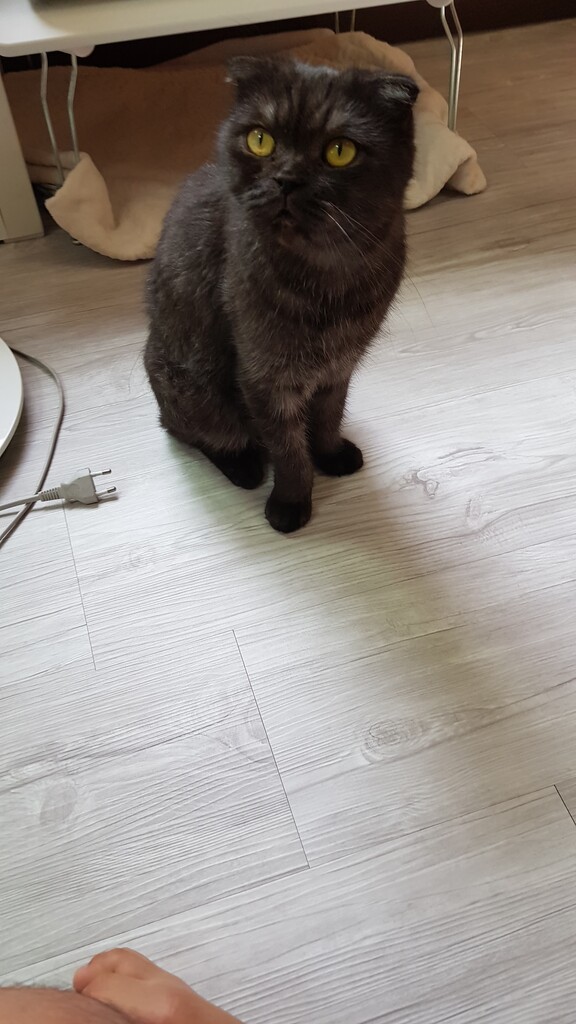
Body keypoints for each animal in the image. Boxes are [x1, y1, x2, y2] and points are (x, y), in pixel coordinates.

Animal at [144, 56, 417, 533]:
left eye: (340, 150)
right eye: (260, 140)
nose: (286, 179)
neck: (331, 276)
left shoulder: (340, 365)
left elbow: (328, 417)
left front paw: (329, 455)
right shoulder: (264, 376)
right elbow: (288, 449)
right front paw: (290, 503)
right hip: (195, 391)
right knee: (196, 433)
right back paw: (244, 466)